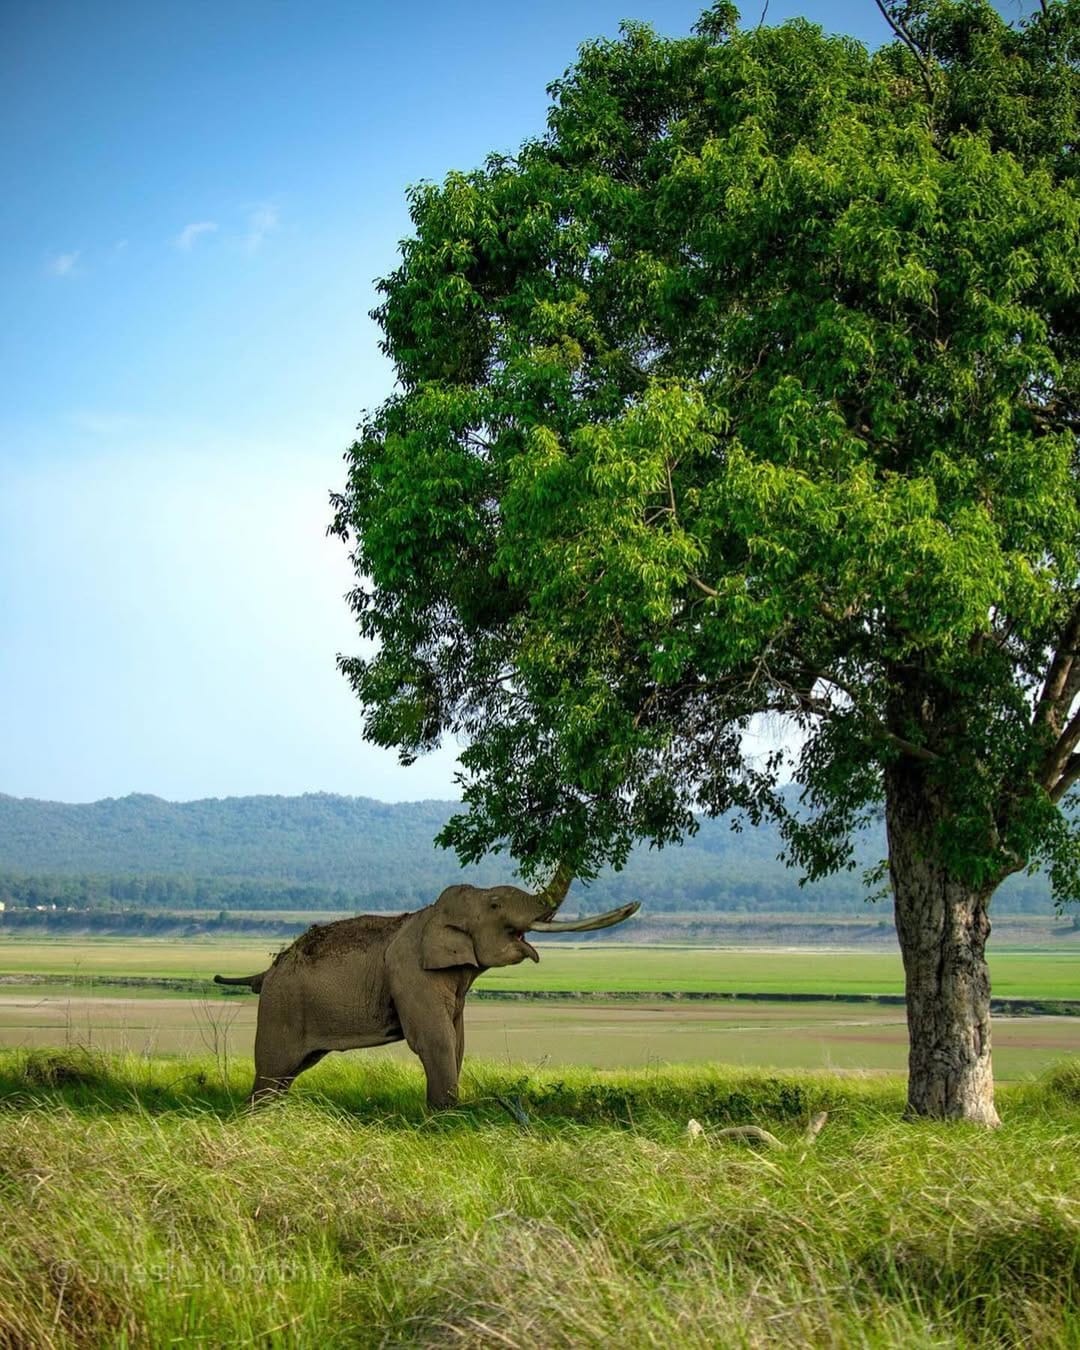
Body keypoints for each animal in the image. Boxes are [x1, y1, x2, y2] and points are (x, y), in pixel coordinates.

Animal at [214, 875, 639, 1108]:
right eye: (495, 904)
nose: (635, 904)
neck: (434, 911)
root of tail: (269, 968)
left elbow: (457, 1040)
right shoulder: (411, 974)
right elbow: (436, 1040)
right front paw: (446, 1118)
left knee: (287, 1074)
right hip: (280, 1007)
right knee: (273, 1070)